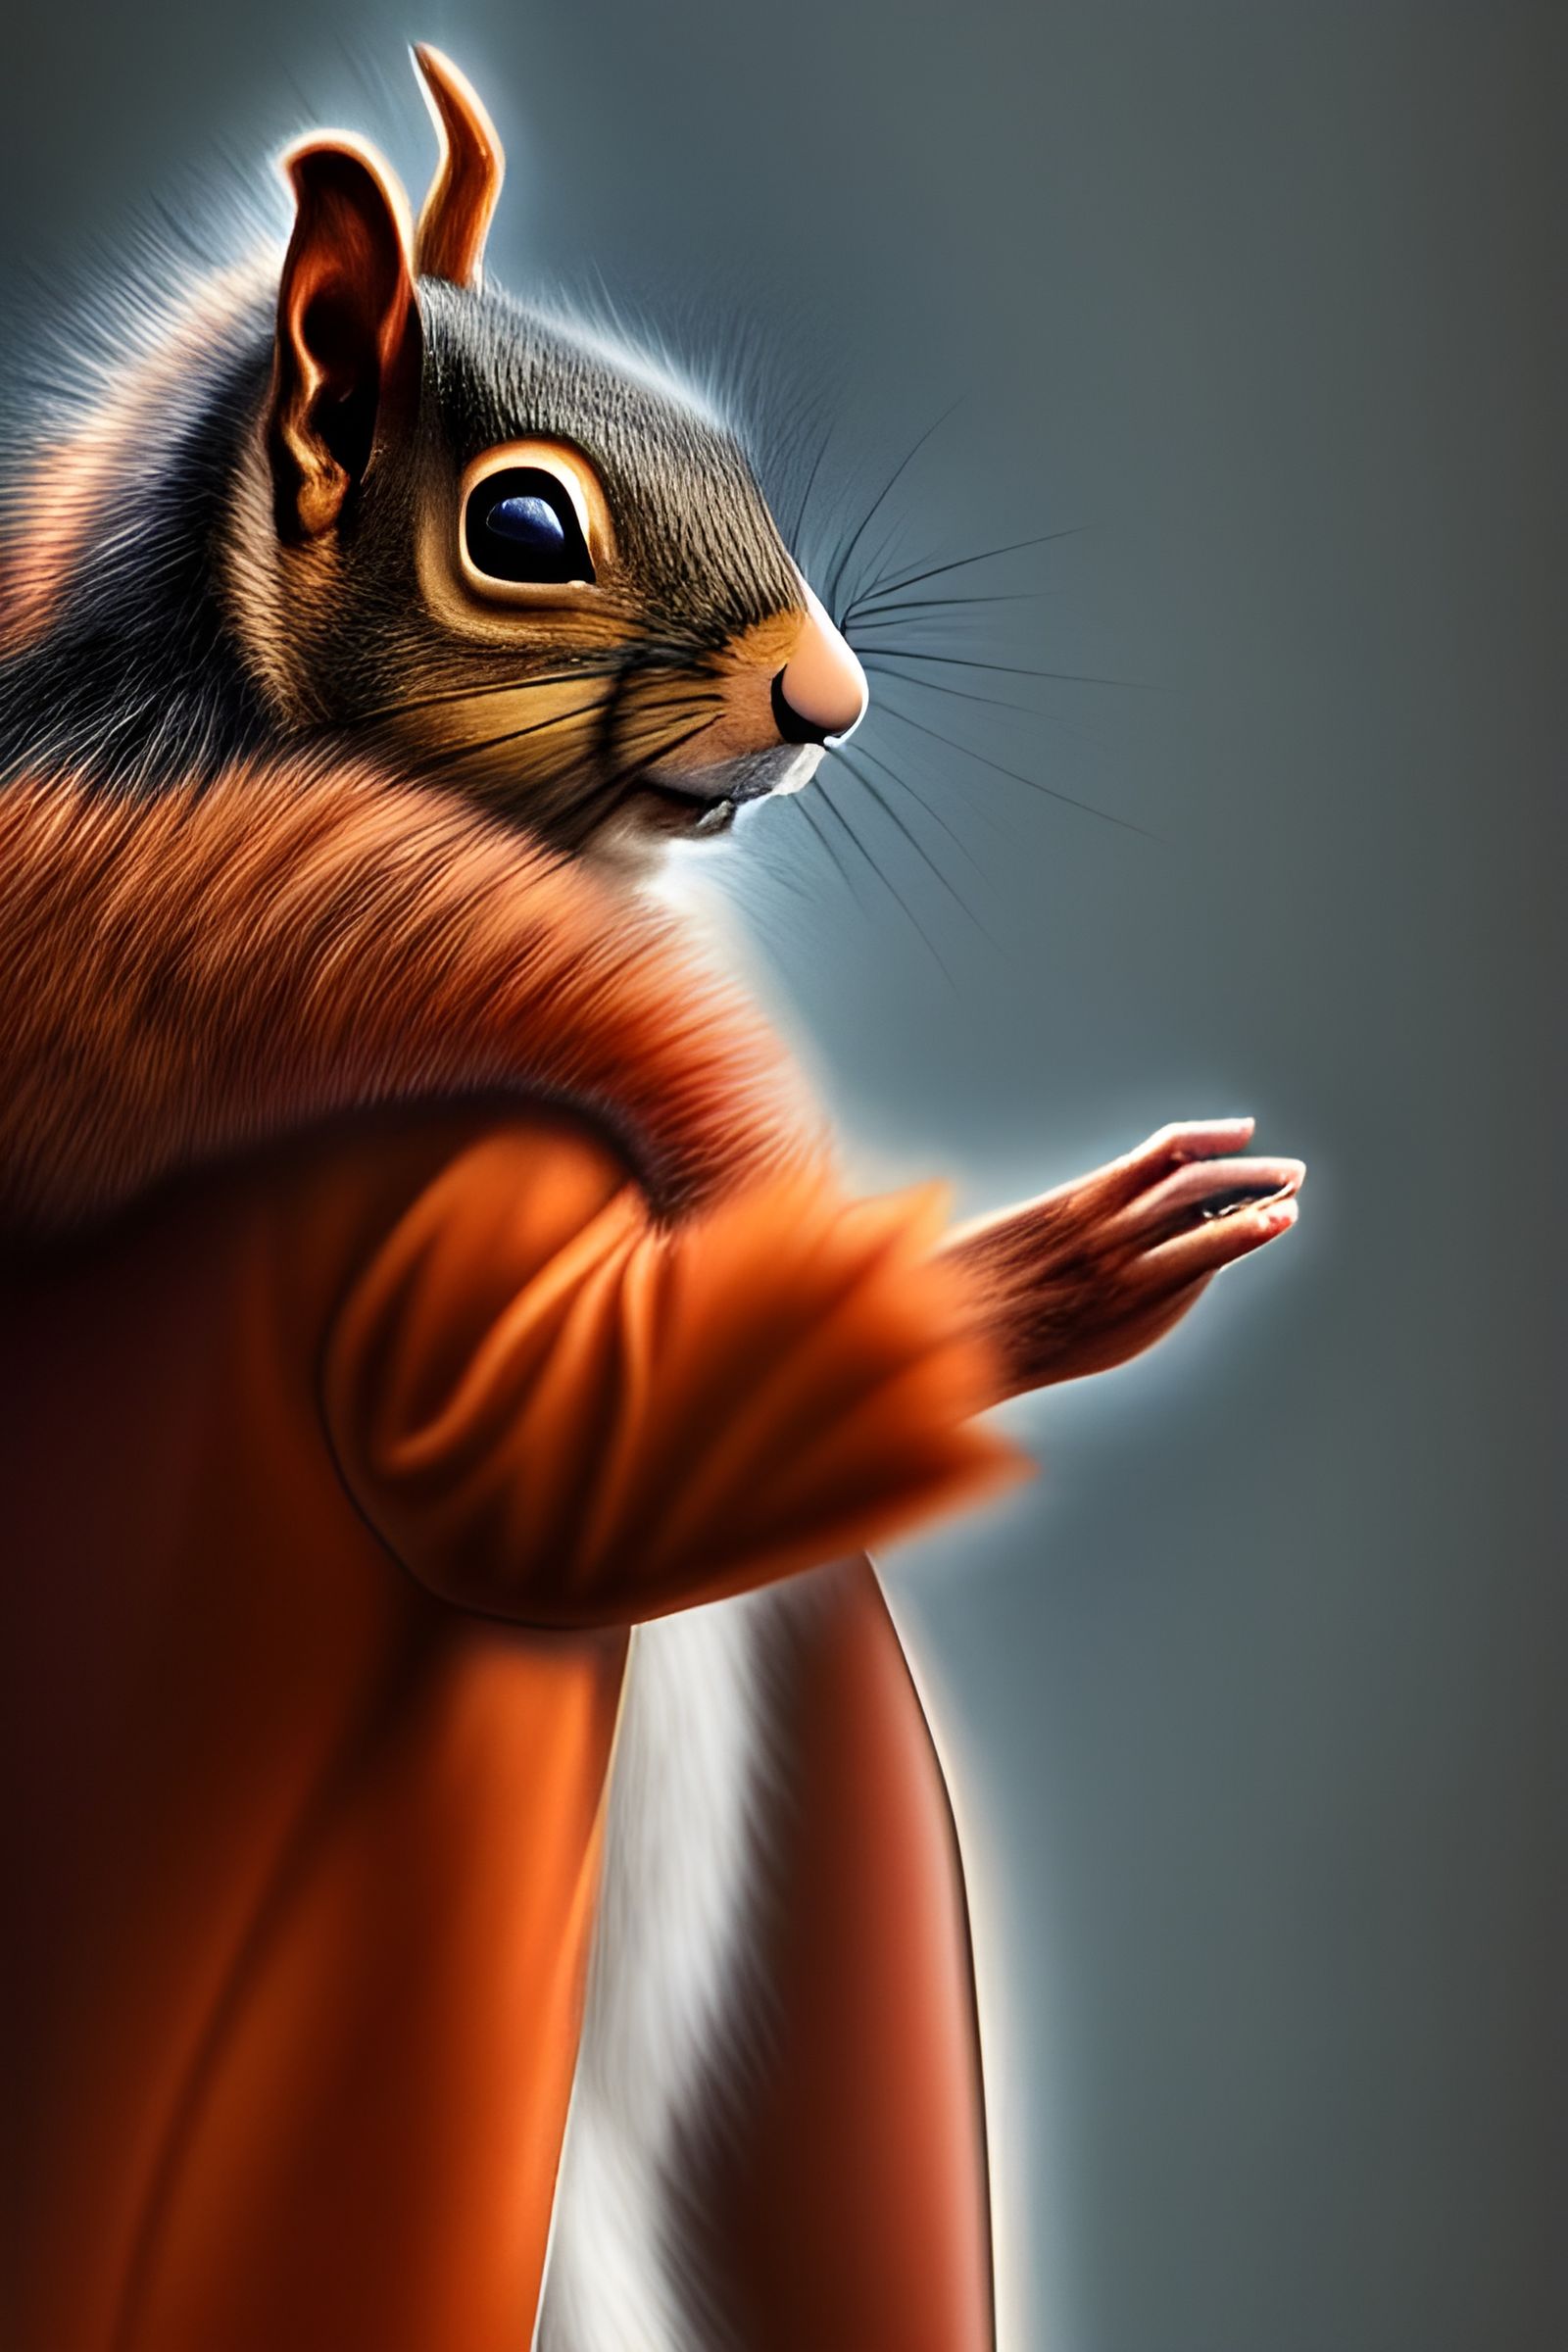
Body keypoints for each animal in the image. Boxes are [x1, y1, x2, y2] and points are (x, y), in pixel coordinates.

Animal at [0, 47, 1304, 2352]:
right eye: (522, 530)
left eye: (722, 440)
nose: (830, 703)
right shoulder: (429, 1181)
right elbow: (549, 1492)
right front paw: (1024, 1283)